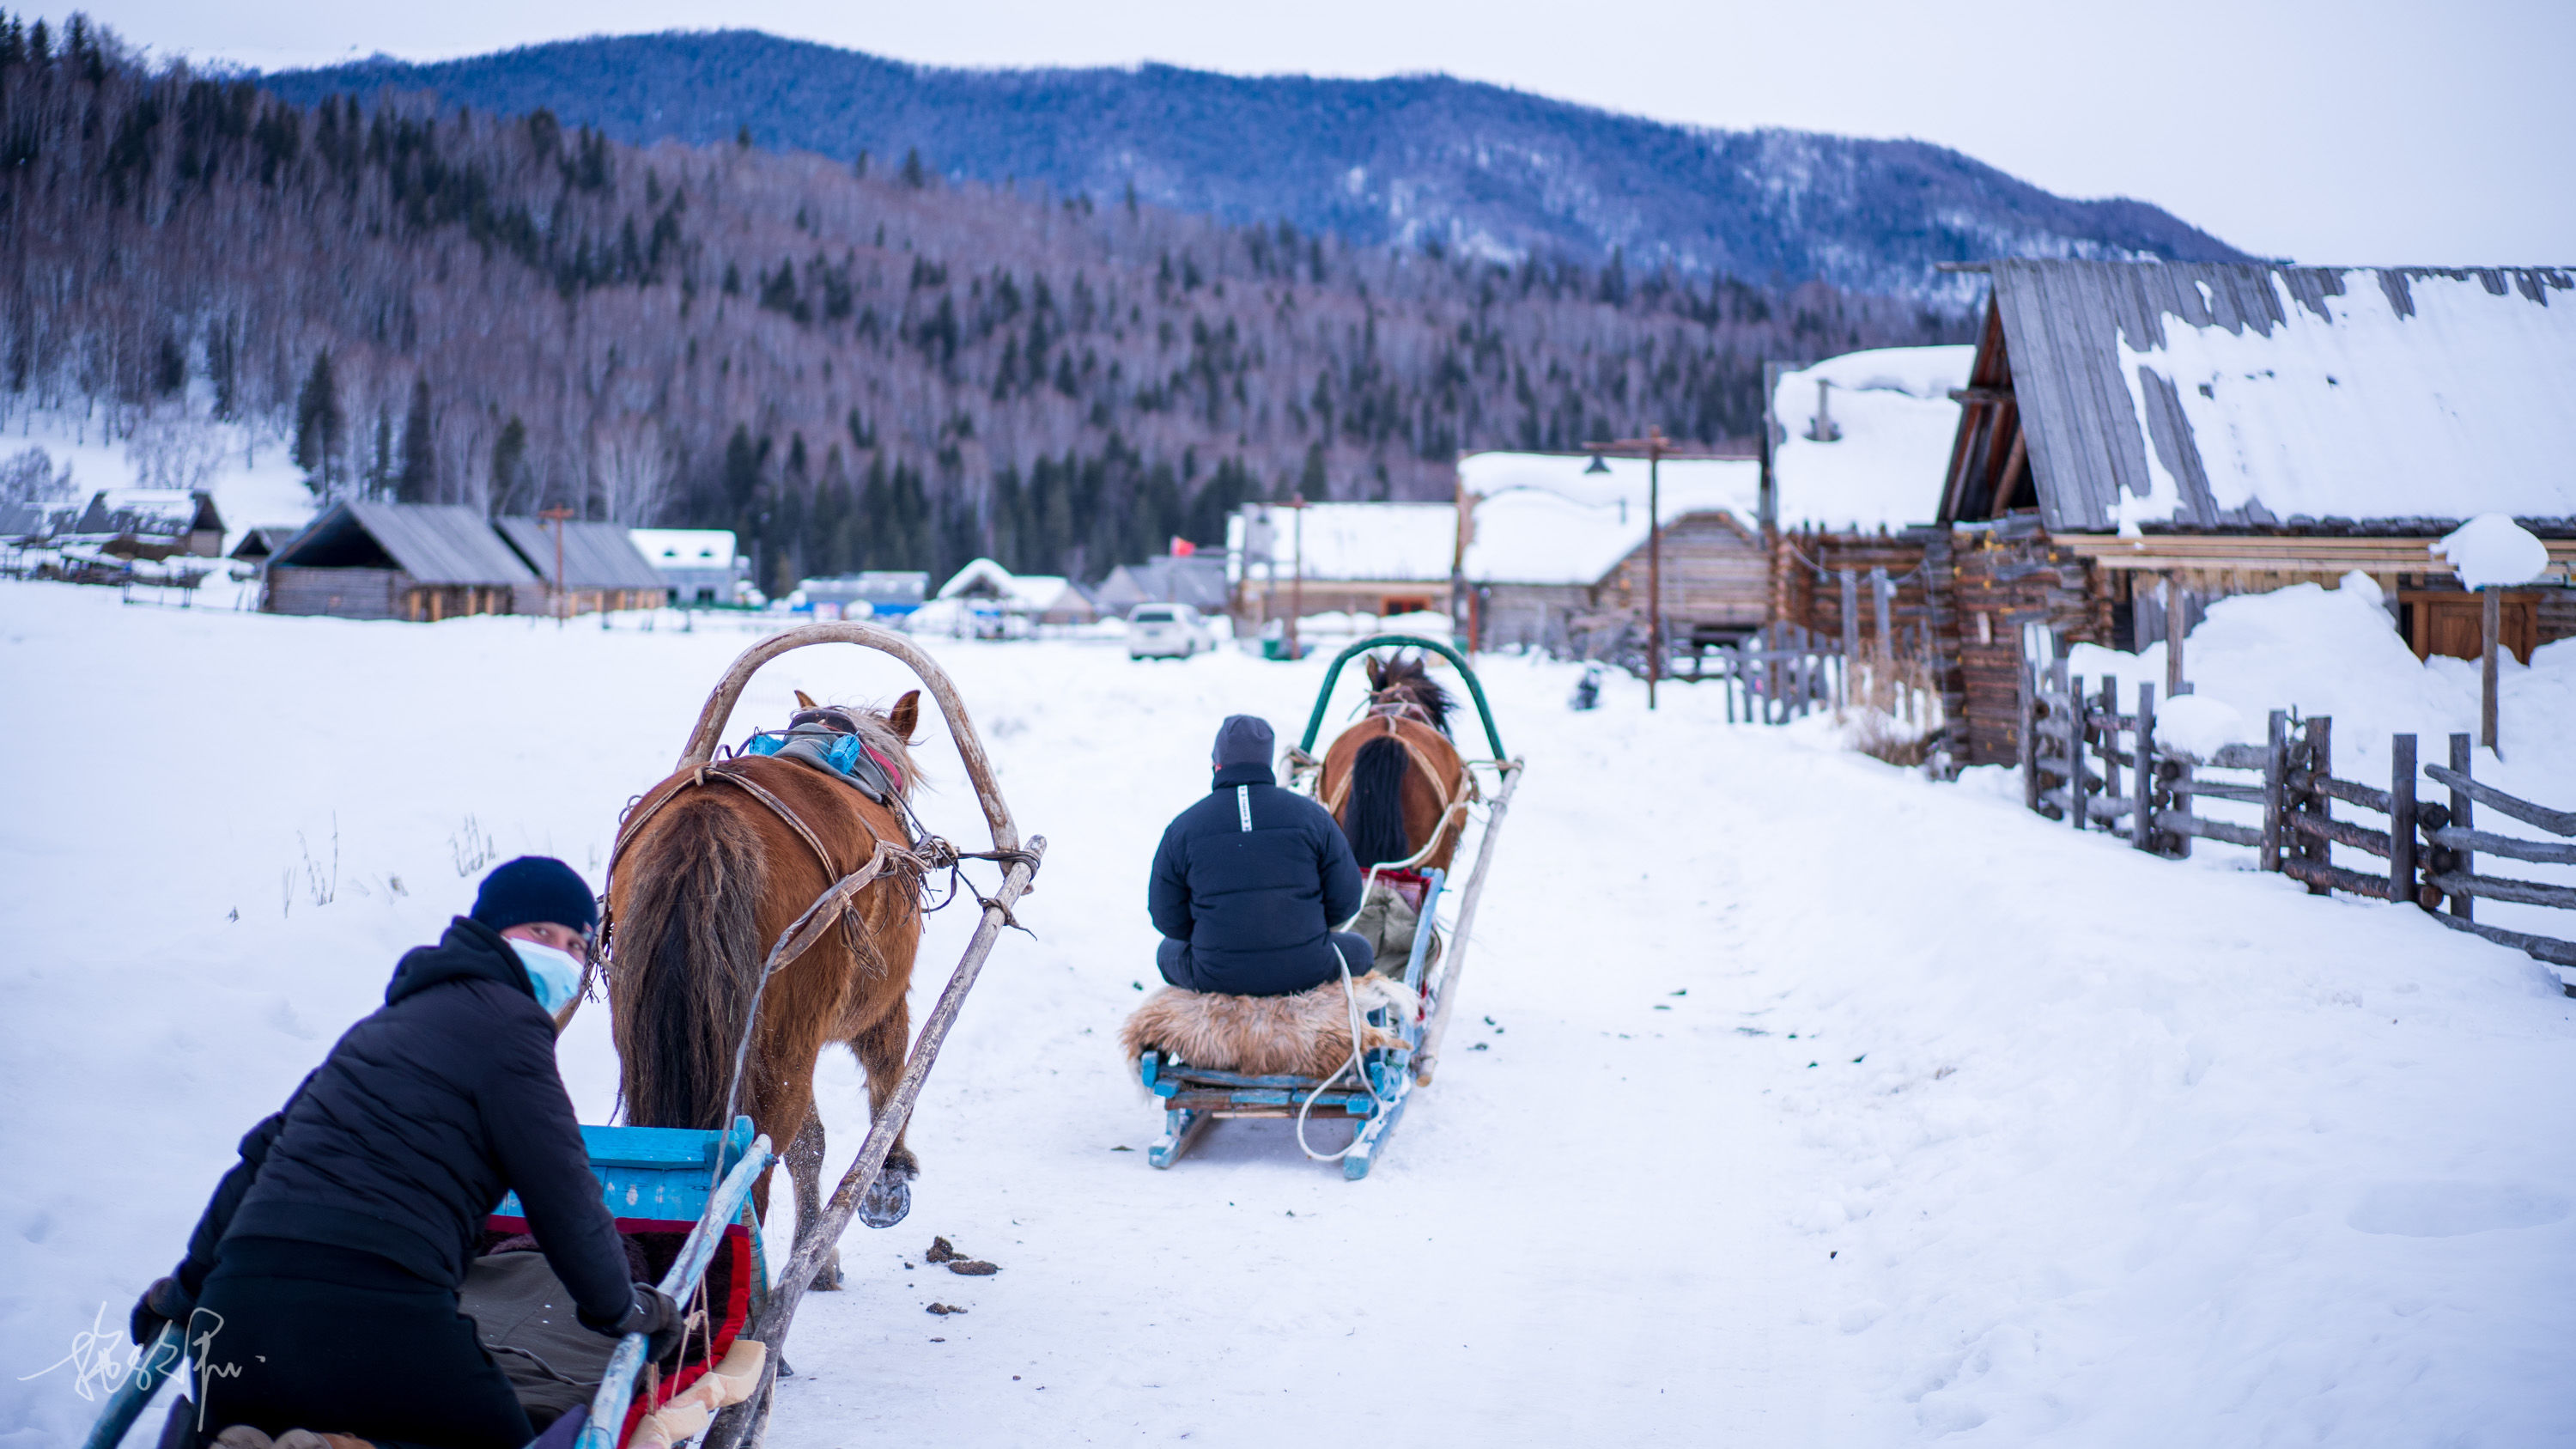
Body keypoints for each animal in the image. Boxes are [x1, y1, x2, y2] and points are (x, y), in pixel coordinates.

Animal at [603, 685, 927, 1283]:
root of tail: (708, 820)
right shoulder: (881, 1007)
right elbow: (889, 1090)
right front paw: (887, 1180)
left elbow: (810, 1144)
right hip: (782, 1046)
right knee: (755, 1168)